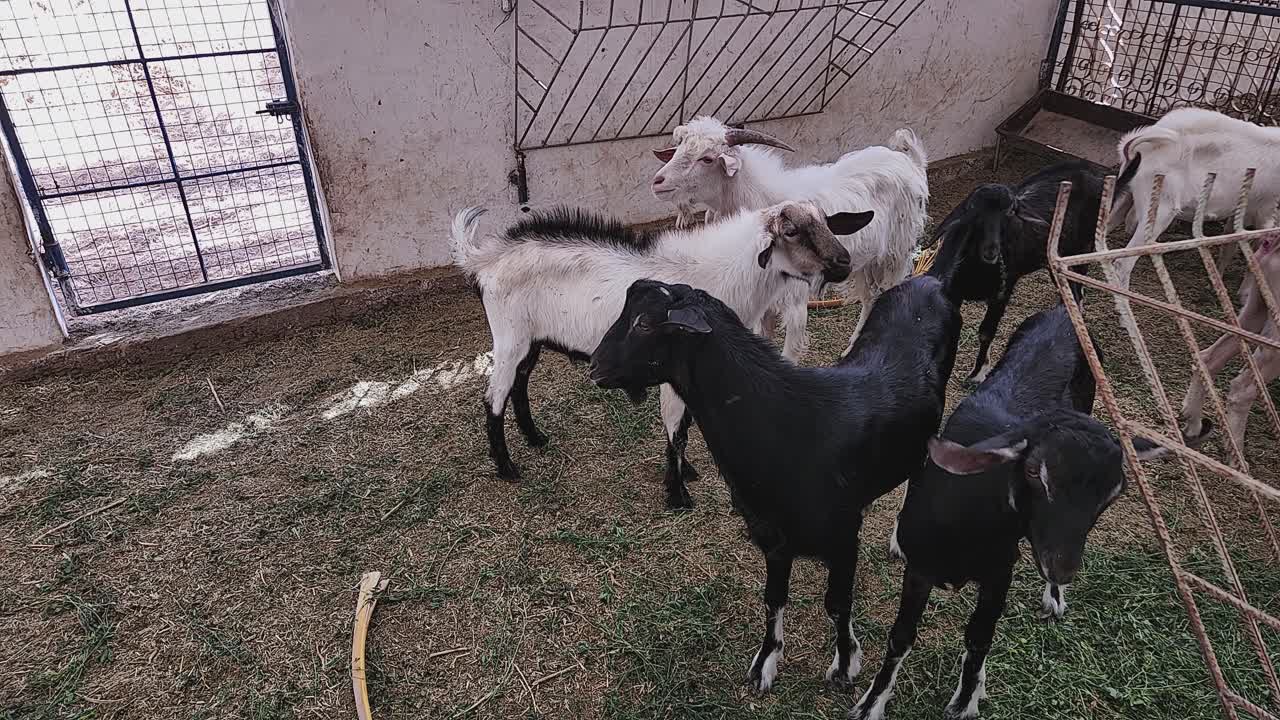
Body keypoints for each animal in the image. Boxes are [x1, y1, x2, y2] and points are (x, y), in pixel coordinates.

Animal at [451, 202, 867, 508]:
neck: (723, 275)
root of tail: (485, 259)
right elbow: (676, 429)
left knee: (519, 384)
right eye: (792, 231)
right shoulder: (674, 368)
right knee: (494, 396)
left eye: (827, 222)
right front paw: (678, 493)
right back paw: (507, 467)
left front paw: (688, 474)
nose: (844, 263)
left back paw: (535, 437)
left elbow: (686, 425)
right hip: (509, 338)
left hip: (532, 339)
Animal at [588, 274, 961, 693]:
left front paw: (845, 665)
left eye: (645, 324)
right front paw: (766, 662)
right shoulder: (772, 537)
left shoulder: (843, 538)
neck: (787, 424)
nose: (594, 366)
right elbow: (773, 598)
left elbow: (836, 603)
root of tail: (929, 279)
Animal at [651, 116, 929, 350]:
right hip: (864, 260)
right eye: (678, 149)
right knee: (870, 298)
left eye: (707, 158)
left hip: (897, 253)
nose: (657, 182)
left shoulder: (795, 305)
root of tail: (909, 162)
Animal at [850, 303, 1211, 720]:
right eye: (1035, 473)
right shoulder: (921, 568)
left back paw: (1053, 596)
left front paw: (966, 698)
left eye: (1114, 494)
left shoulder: (999, 572)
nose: (1063, 568)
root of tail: (1063, 311)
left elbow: (979, 637)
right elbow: (901, 636)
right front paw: (871, 702)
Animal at [924, 159, 1140, 383]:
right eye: (973, 211)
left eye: (1011, 212)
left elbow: (986, 332)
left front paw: (978, 373)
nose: (991, 251)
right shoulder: (955, 293)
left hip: (1083, 244)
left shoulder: (1003, 291)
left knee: (1079, 283)